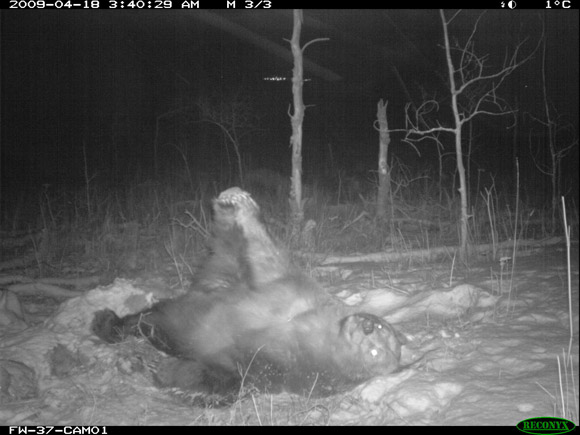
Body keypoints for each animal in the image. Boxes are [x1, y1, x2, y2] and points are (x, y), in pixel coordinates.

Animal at [94, 187, 404, 406]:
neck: (319, 337)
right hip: (215, 283)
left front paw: (163, 371)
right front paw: (239, 200)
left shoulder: (293, 369)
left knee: (164, 328)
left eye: (376, 351)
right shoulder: (298, 295)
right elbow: (269, 263)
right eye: (379, 328)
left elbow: (235, 374)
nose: (366, 326)